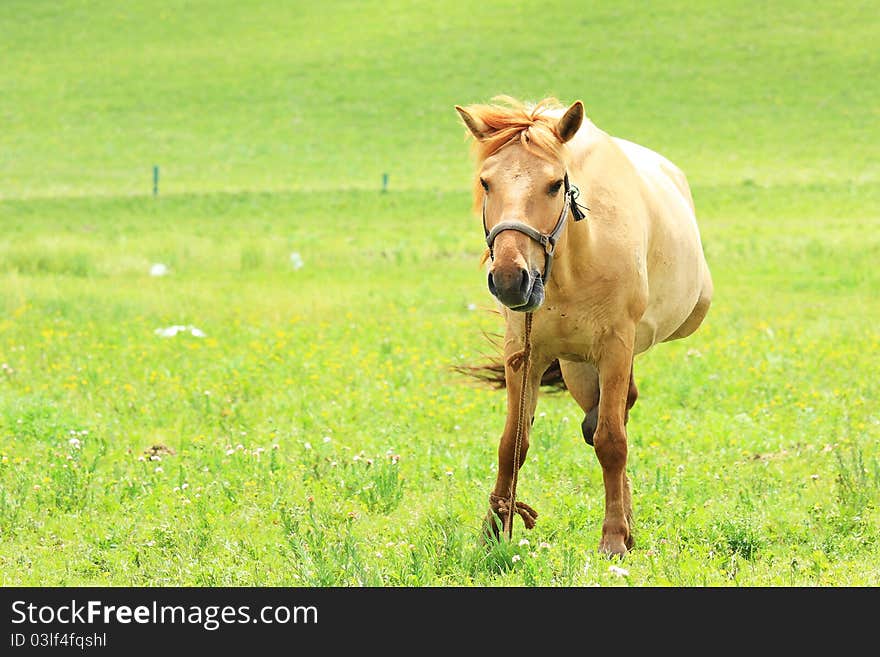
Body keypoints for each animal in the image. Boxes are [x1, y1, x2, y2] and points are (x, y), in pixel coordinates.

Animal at [458, 95, 712, 552]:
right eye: (486, 182)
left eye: (555, 184)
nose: (509, 278)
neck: (570, 267)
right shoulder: (523, 353)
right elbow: (513, 442)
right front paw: (493, 532)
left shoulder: (615, 347)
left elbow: (611, 442)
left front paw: (613, 539)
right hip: (577, 367)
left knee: (614, 420)